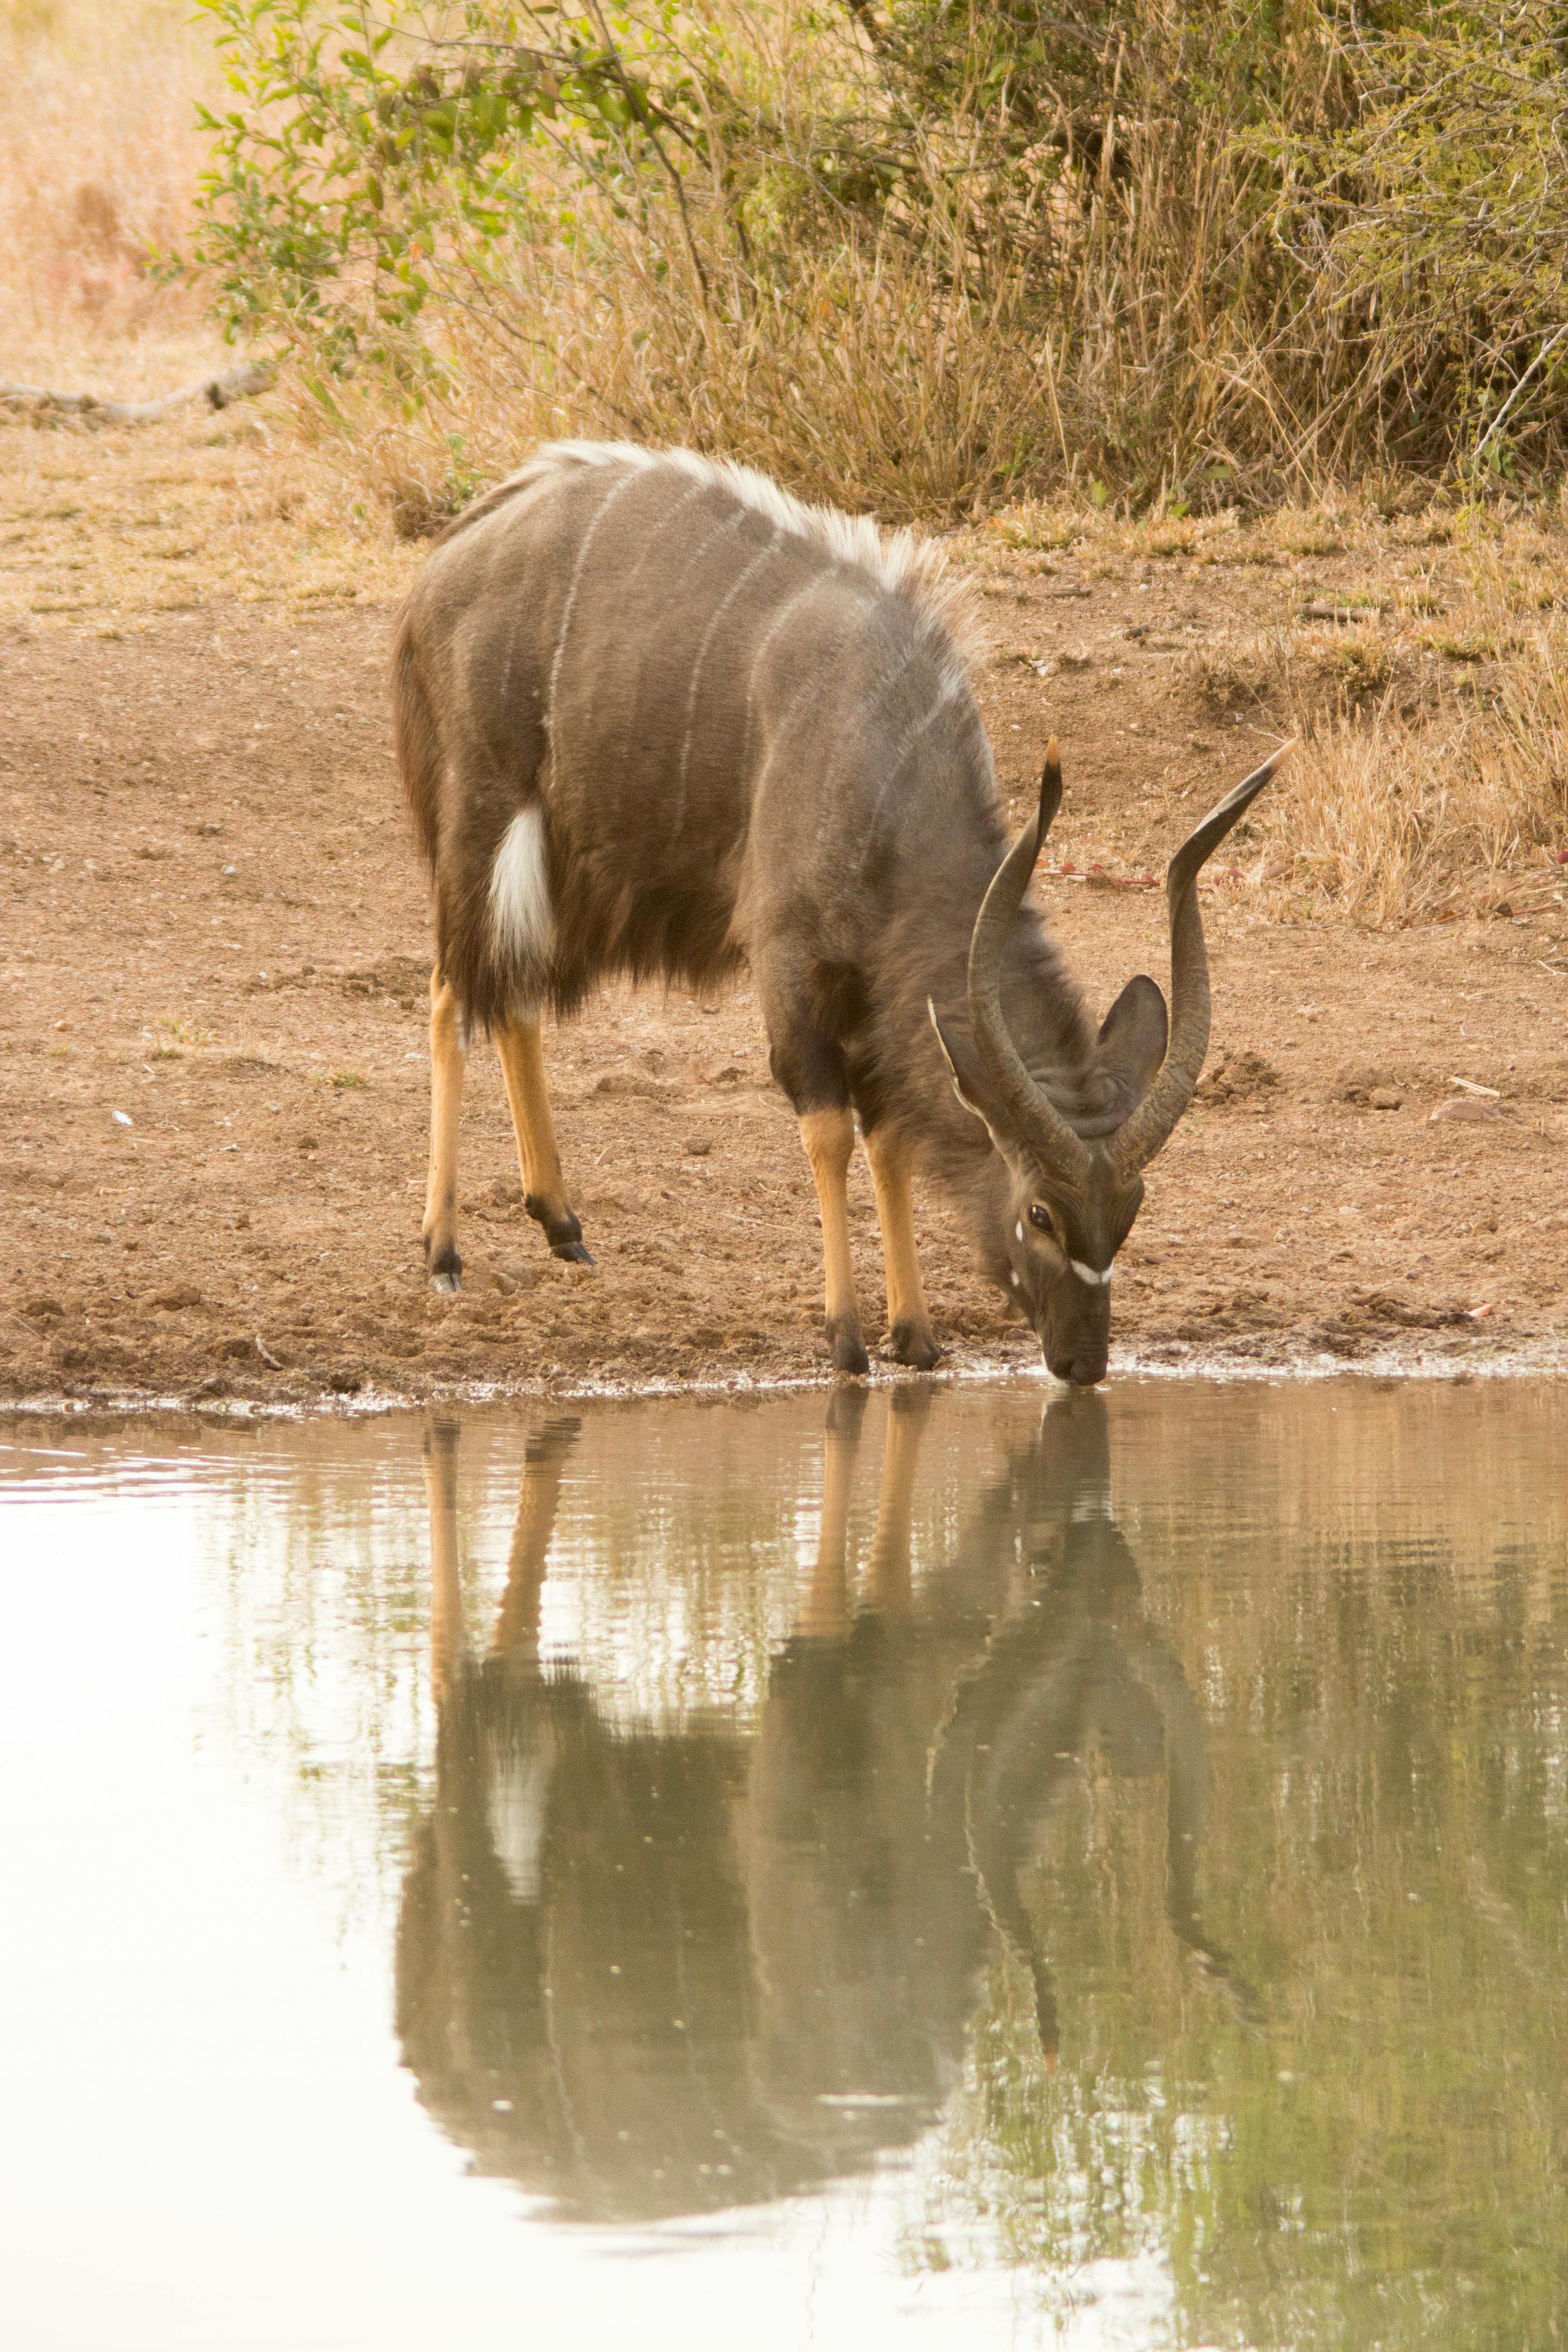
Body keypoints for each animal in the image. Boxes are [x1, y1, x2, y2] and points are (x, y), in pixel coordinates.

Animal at [395, 442, 1288, 1373]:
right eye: (1040, 1211)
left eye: (1131, 1208)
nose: (1081, 1361)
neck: (883, 756)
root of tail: (452, 555)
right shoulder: (790, 962)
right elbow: (827, 1127)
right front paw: (848, 1337)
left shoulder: (877, 997)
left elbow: (889, 1136)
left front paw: (916, 1333)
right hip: (483, 821)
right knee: (452, 993)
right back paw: (444, 1252)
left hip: (561, 868)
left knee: (514, 996)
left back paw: (562, 1223)